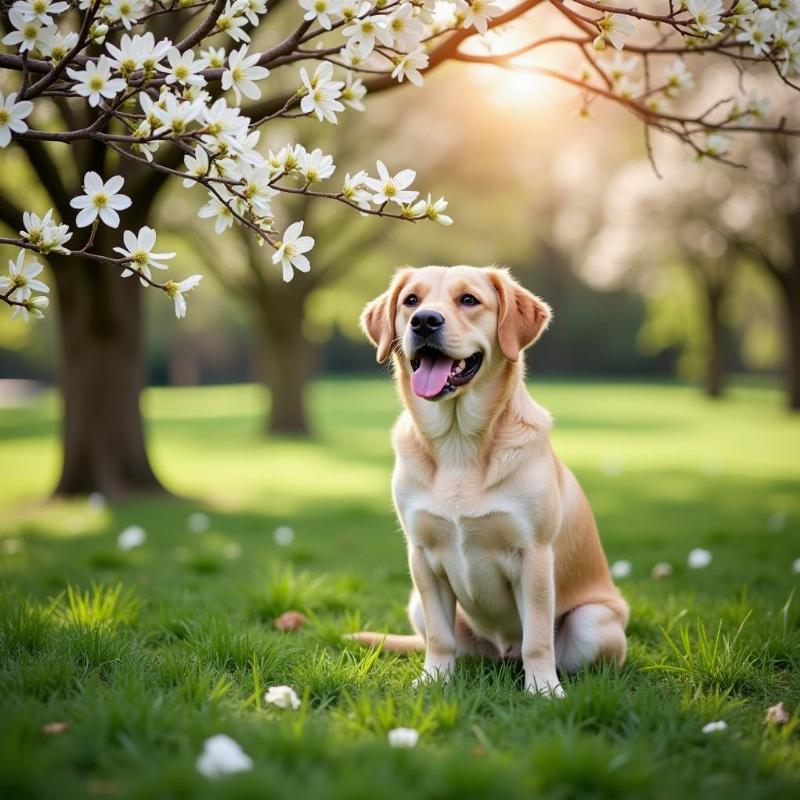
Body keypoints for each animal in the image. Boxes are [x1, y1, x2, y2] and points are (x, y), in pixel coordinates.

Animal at [354, 268, 628, 692]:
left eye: (469, 300)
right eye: (411, 301)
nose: (424, 321)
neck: (458, 444)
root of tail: (502, 653)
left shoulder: (533, 555)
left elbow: (537, 639)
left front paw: (544, 690)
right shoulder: (422, 557)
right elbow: (439, 637)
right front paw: (432, 681)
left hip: (592, 621)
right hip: (416, 603)